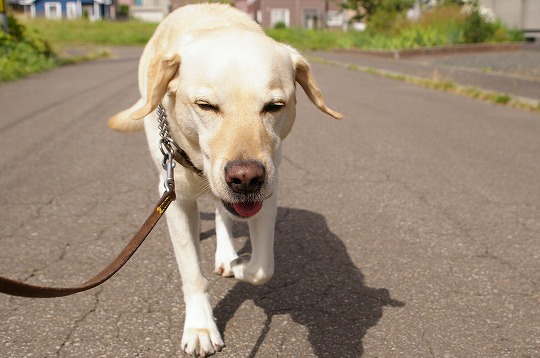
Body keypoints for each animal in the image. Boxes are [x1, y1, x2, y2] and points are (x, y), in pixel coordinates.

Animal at [108, 4, 342, 356]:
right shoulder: (173, 198)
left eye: (275, 106)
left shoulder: (270, 189)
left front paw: (240, 264)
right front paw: (200, 326)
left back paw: (226, 254)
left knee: (224, 214)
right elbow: (192, 272)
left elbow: (263, 267)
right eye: (206, 105)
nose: (245, 179)